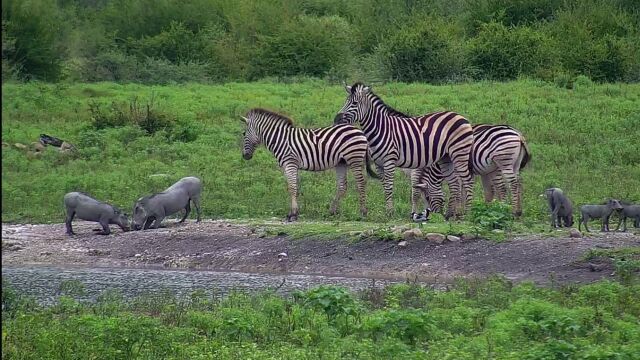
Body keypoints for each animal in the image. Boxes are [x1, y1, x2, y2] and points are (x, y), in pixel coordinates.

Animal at [242, 107, 378, 221]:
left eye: (243, 134)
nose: (245, 156)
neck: (280, 139)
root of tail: (359, 131)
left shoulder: (290, 163)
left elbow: (292, 187)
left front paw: (292, 214)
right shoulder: (293, 165)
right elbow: (296, 188)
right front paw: (295, 212)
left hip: (354, 158)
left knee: (361, 183)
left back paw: (362, 212)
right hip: (341, 162)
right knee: (342, 186)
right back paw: (332, 211)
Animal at [332, 83, 472, 219]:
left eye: (354, 103)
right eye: (346, 101)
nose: (336, 120)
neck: (381, 128)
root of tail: (459, 116)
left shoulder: (391, 161)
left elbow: (393, 188)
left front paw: (391, 213)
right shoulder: (379, 164)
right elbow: (385, 187)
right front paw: (388, 212)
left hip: (459, 153)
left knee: (467, 180)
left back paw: (467, 213)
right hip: (446, 158)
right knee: (454, 183)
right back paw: (451, 214)